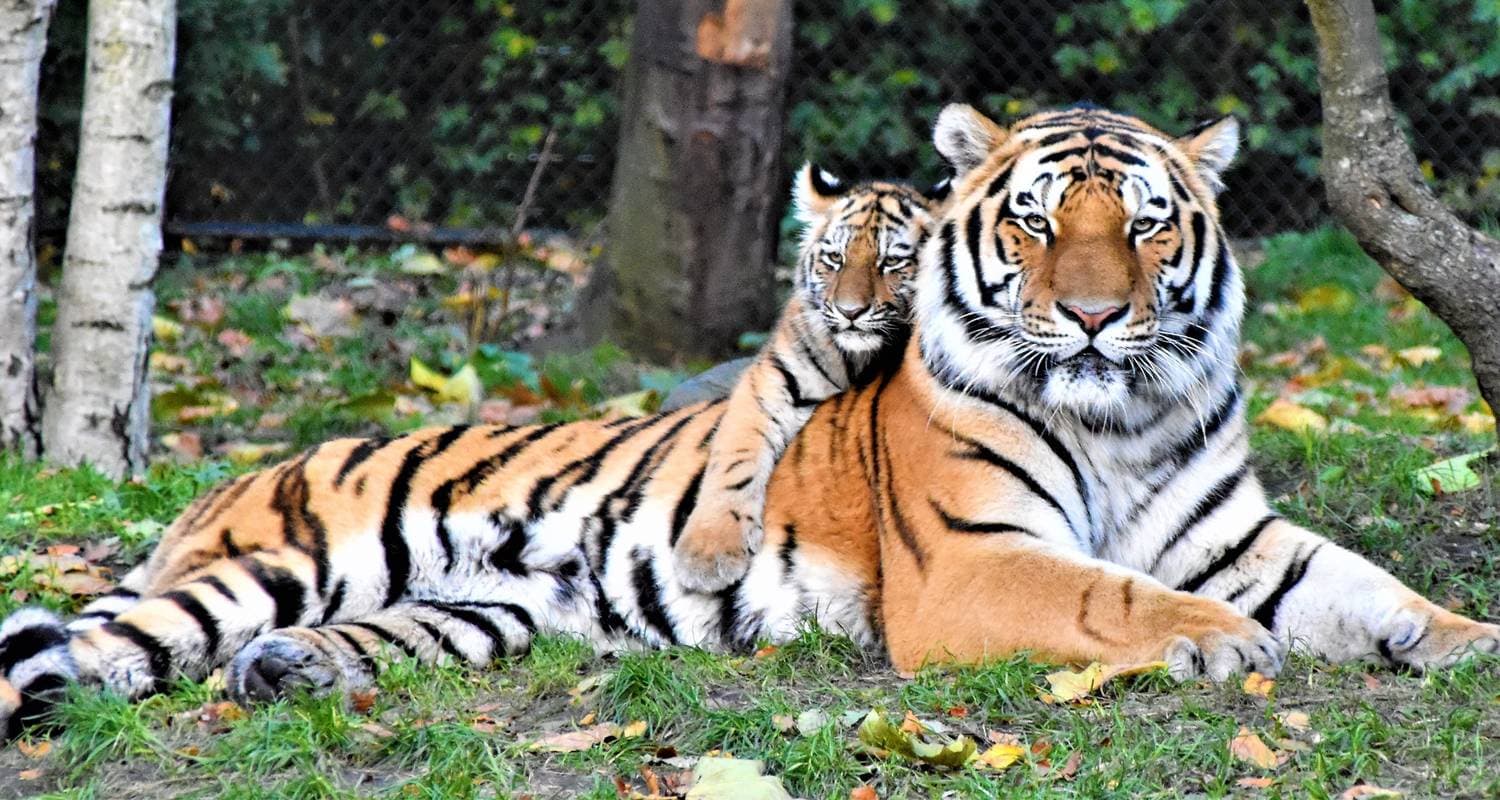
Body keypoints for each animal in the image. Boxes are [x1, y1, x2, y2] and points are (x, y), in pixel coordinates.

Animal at [672, 162, 948, 592]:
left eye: (891, 262)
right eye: (835, 258)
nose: (850, 311)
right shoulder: (771, 380)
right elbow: (734, 457)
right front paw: (707, 553)